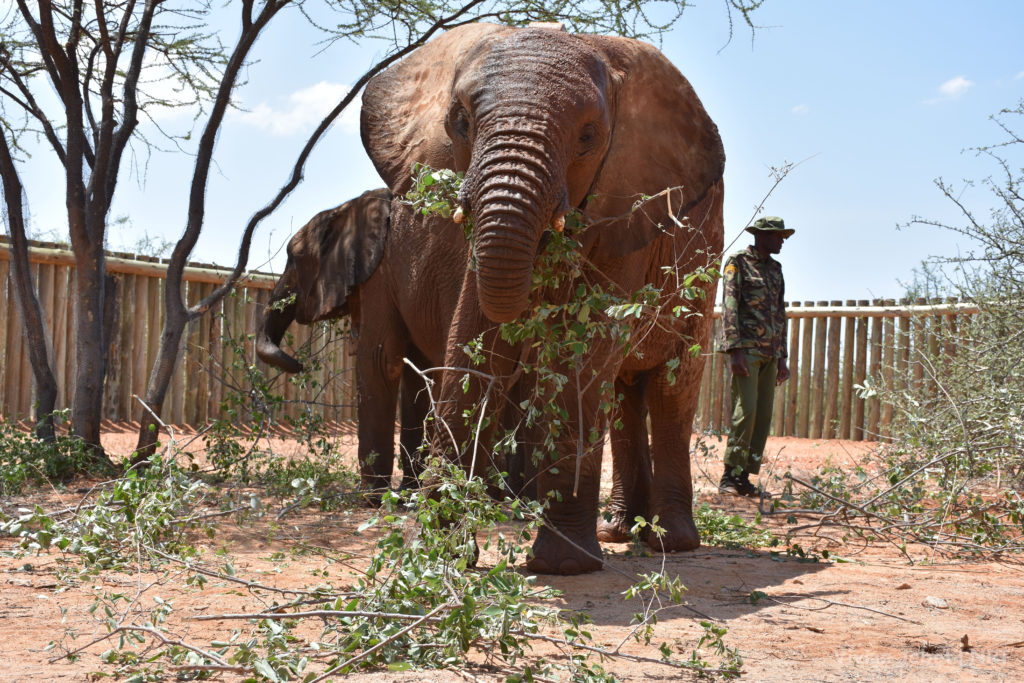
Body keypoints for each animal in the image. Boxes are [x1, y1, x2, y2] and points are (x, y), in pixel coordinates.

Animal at [364, 24, 724, 573]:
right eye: (461, 123)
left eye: (588, 137)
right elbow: (475, 337)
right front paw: (432, 556)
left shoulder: (625, 209)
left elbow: (582, 350)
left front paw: (563, 566)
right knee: (623, 394)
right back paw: (619, 530)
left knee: (671, 387)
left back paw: (671, 542)